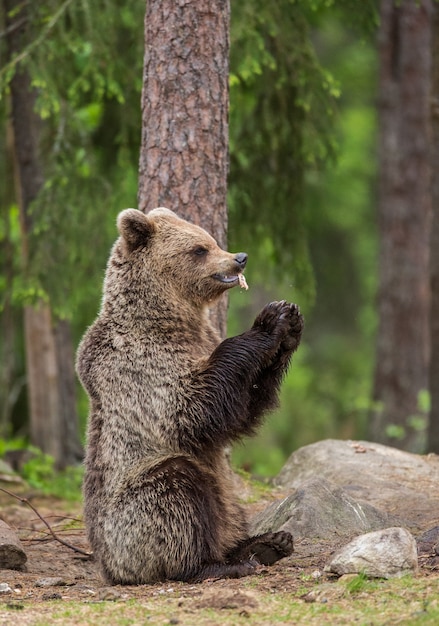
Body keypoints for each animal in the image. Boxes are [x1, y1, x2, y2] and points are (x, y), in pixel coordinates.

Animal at [76, 207, 302, 584]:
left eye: (212, 239)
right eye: (199, 249)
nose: (239, 258)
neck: (170, 319)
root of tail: (108, 567)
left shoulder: (202, 340)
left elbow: (242, 408)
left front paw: (290, 323)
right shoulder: (137, 364)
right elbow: (190, 408)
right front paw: (269, 322)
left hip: (229, 500)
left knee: (228, 511)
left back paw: (267, 542)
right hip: (130, 514)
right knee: (178, 492)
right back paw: (217, 564)